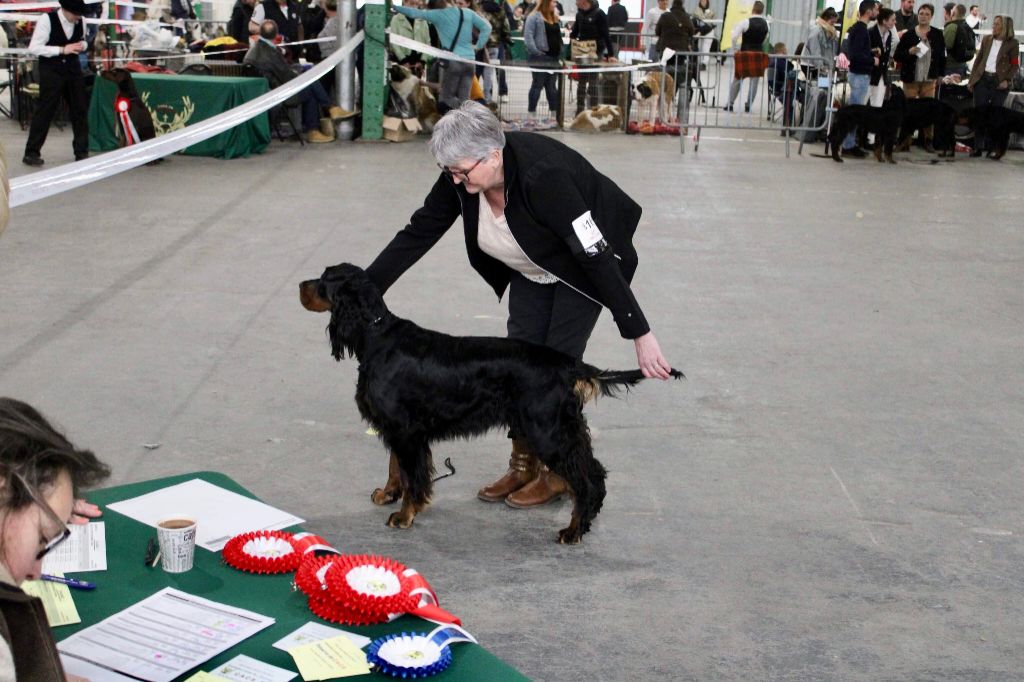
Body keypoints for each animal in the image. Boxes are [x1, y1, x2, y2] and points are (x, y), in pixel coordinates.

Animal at [299, 262, 684, 544]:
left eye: (324, 281)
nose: (300, 285)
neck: (377, 335)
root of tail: (568, 364)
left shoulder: (406, 431)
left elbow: (412, 475)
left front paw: (405, 514)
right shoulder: (399, 429)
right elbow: (397, 468)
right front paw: (388, 495)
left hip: (547, 429)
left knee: (586, 478)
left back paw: (574, 530)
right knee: (593, 471)